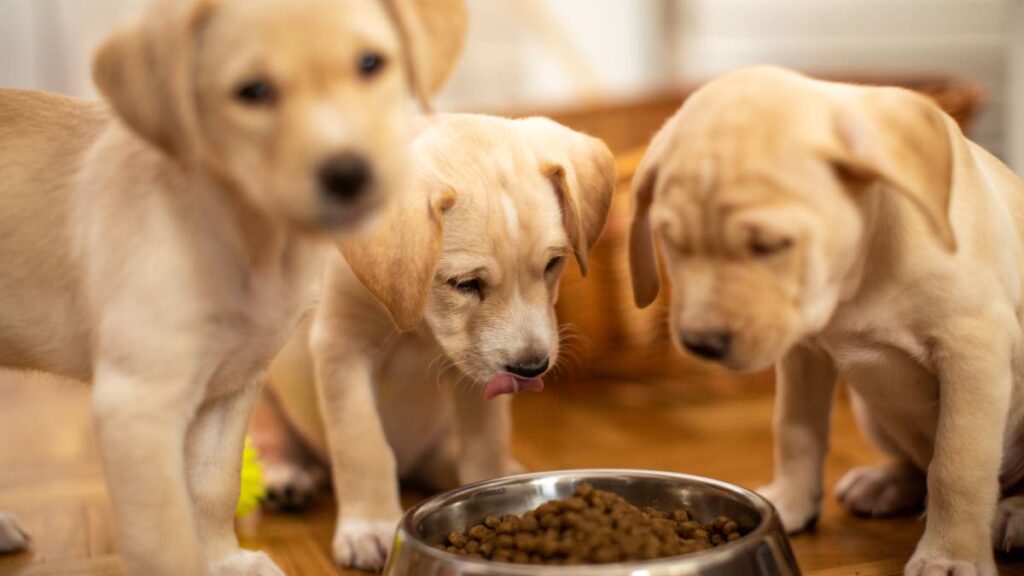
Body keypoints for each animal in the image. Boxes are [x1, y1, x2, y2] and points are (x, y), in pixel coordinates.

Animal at [0, 0, 460, 569]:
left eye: (371, 63)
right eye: (252, 91)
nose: (351, 174)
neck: (250, 240)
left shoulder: (233, 383)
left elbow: (212, 487)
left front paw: (223, 561)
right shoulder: (136, 405)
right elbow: (161, 539)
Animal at [253, 113, 614, 569]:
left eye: (553, 263)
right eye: (465, 283)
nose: (531, 369)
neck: (417, 325)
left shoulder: (477, 371)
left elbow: (486, 440)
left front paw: (494, 488)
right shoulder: (342, 347)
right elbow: (362, 444)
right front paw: (368, 526)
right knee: (273, 441)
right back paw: (284, 476)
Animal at [626, 65, 1024, 569]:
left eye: (770, 244)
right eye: (671, 241)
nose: (702, 344)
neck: (858, 280)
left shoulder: (972, 353)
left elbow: (957, 465)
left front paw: (950, 555)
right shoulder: (803, 354)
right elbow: (795, 432)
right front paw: (791, 503)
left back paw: (1015, 514)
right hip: (874, 409)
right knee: (915, 462)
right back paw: (886, 482)